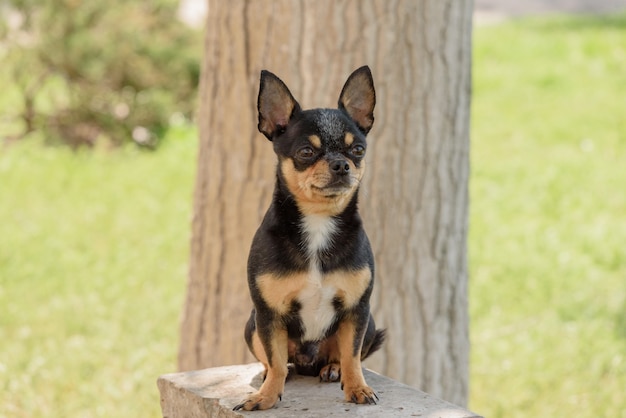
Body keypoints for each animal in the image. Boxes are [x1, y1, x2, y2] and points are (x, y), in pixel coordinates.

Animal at [232, 67, 382, 410]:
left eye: (358, 150)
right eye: (306, 152)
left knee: (343, 356)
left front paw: (357, 388)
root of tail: (308, 363)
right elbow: (275, 359)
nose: (341, 164)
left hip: (369, 324)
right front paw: (267, 397)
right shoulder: (268, 315)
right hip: (251, 326)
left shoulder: (357, 310)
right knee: (275, 361)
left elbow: (353, 355)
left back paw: (332, 369)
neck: (318, 221)